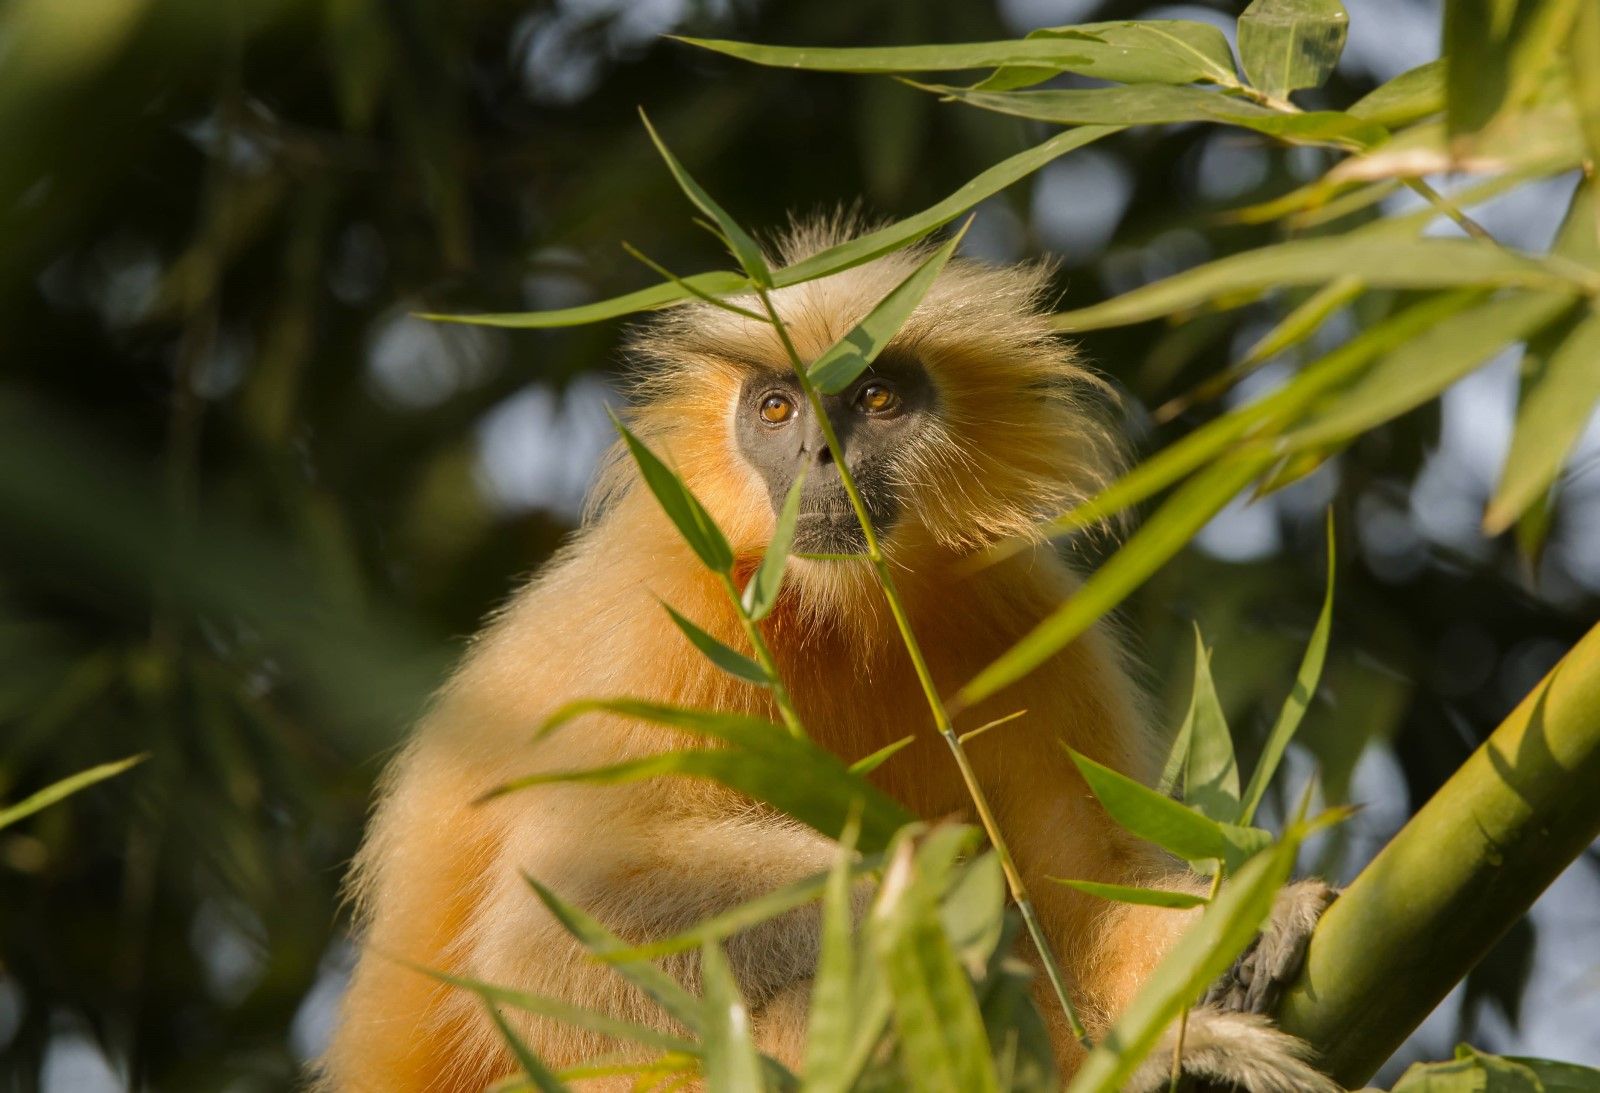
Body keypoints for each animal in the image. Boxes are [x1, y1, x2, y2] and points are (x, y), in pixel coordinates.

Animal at [321, 222, 1337, 1093]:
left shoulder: (1026, 614)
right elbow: (556, 930)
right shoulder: (683, 606)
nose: (817, 454)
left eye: (876, 399)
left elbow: (1080, 894)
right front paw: (935, 903)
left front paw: (1245, 917)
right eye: (777, 407)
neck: (845, 611)